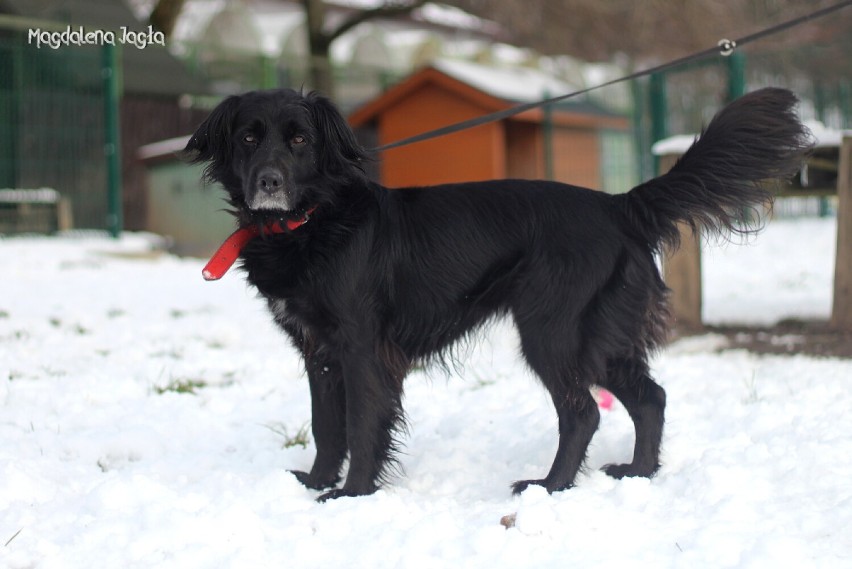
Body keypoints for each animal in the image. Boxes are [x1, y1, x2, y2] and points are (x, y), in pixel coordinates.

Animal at [185, 86, 812, 500]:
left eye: (299, 140)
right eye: (248, 137)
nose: (268, 182)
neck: (311, 221)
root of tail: (619, 205)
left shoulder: (362, 348)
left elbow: (362, 424)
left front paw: (350, 495)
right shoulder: (317, 351)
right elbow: (326, 424)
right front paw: (315, 482)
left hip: (552, 332)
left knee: (583, 412)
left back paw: (550, 486)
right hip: (600, 338)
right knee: (649, 398)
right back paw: (638, 474)